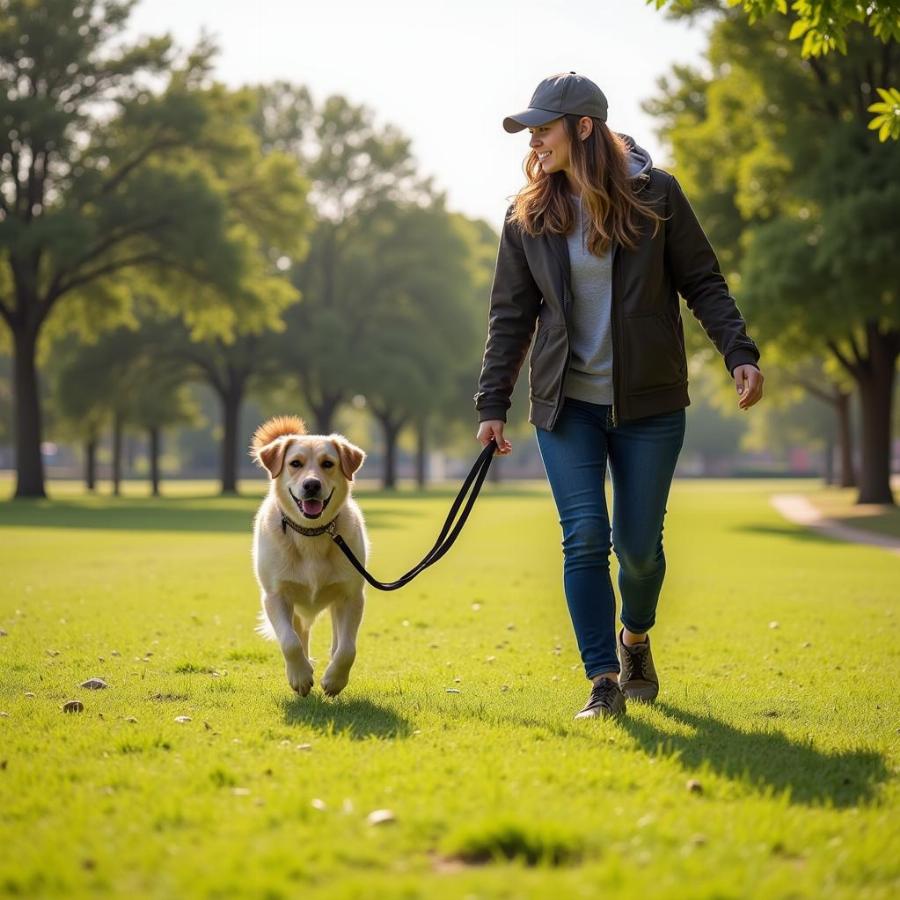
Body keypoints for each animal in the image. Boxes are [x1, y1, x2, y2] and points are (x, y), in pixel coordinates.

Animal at [248, 414, 368, 696]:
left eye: (328, 464)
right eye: (295, 463)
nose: (311, 484)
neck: (311, 535)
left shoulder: (352, 595)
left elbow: (348, 648)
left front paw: (334, 680)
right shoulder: (275, 596)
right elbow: (290, 642)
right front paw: (300, 676)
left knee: (337, 640)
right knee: (298, 635)